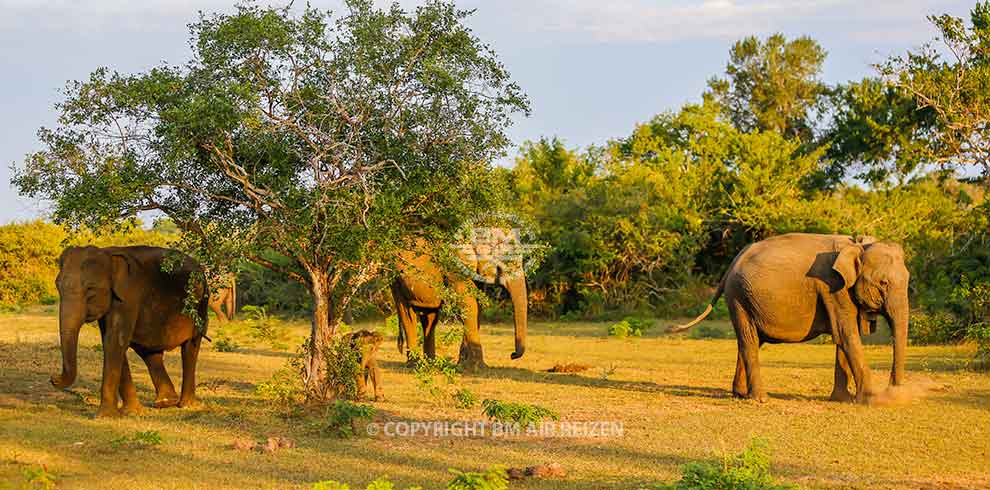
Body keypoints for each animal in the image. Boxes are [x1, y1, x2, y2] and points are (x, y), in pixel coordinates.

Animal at [51, 245, 209, 418]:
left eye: (90, 289)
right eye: (58, 286)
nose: (53, 378)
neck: (108, 254)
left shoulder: (129, 297)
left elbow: (115, 341)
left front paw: (104, 416)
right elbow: (110, 341)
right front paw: (131, 412)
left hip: (201, 305)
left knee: (190, 348)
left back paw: (186, 405)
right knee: (150, 353)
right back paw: (165, 402)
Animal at [392, 233, 532, 368]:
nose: (512, 355)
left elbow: (477, 307)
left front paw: (463, 364)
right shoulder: (455, 264)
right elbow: (468, 303)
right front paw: (476, 367)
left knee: (430, 319)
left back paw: (430, 363)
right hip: (396, 280)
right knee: (407, 316)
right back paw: (414, 365)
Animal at [672, 235, 912, 404]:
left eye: (908, 280)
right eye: (883, 283)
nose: (893, 392)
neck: (857, 245)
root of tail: (732, 264)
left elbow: (843, 338)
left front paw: (843, 400)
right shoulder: (833, 288)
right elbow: (847, 335)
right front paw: (872, 401)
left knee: (750, 341)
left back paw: (740, 394)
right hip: (738, 296)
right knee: (749, 339)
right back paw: (760, 399)